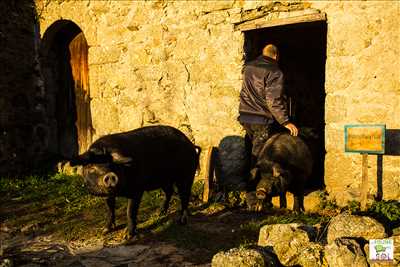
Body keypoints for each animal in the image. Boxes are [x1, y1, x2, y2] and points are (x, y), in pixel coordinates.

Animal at [69, 125, 202, 241]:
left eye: (114, 165)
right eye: (91, 167)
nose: (110, 175)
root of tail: (190, 145)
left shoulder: (137, 190)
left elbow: (130, 211)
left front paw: (128, 236)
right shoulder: (109, 194)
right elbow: (110, 208)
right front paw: (105, 230)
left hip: (187, 175)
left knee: (184, 196)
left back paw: (182, 221)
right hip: (164, 179)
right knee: (169, 192)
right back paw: (159, 213)